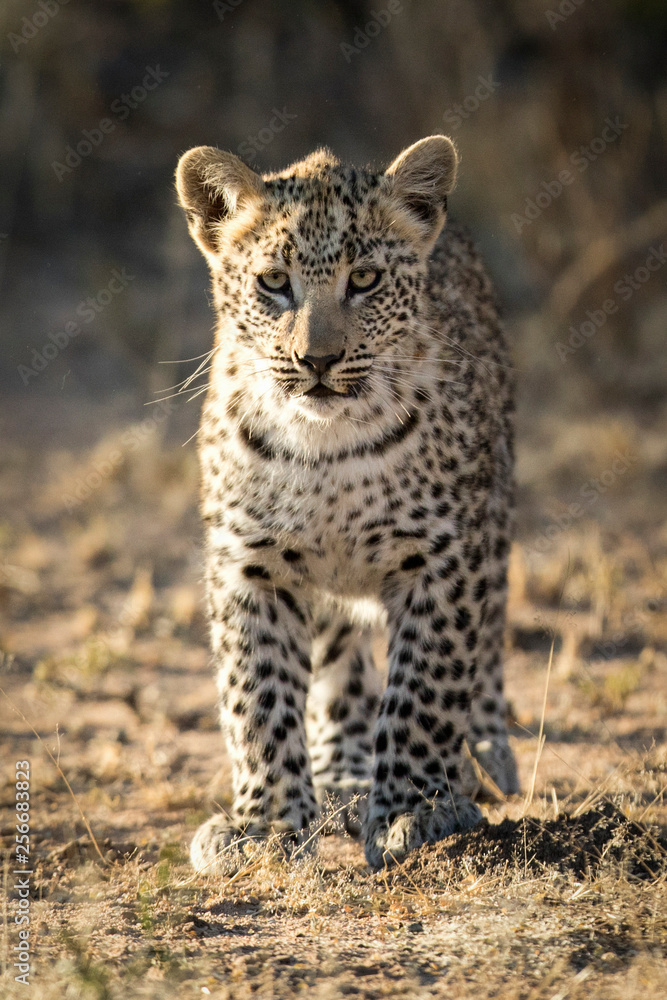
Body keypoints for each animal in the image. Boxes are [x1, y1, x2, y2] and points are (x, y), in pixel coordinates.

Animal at [175, 135, 519, 872]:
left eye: (364, 281)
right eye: (273, 282)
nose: (318, 361)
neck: (324, 446)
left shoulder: (441, 557)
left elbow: (423, 689)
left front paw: (417, 810)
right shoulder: (249, 564)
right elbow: (258, 697)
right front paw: (268, 827)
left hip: (497, 512)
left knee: (487, 640)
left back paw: (484, 751)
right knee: (338, 662)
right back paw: (343, 767)